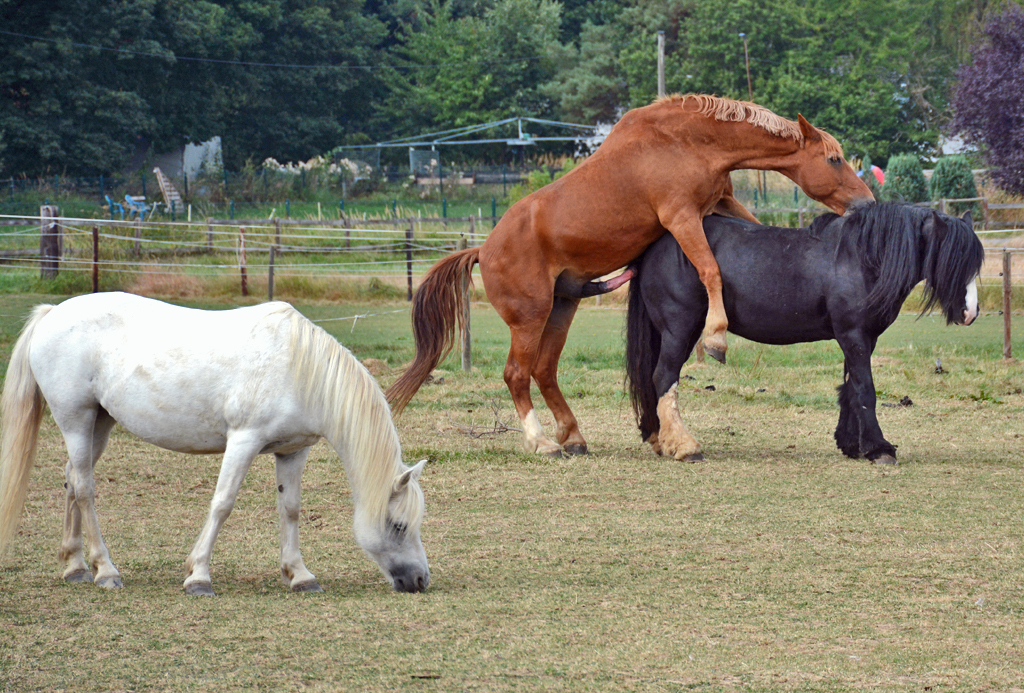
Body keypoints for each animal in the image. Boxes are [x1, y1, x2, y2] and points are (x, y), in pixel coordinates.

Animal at [0, 292, 430, 593]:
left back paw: (74, 566)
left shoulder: (292, 450)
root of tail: (53, 313)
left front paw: (300, 575)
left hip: (99, 423)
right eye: (397, 525)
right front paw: (199, 577)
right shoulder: (243, 441)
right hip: (76, 420)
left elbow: (290, 509)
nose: (421, 580)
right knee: (85, 488)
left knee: (72, 478)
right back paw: (105, 570)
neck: (300, 368)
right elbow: (222, 504)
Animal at [385, 94, 872, 456]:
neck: (689, 140)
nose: (866, 201)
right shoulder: (682, 217)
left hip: (562, 309)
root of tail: (483, 250)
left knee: (544, 371)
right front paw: (716, 336)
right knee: (516, 375)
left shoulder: (719, 204)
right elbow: (711, 270)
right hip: (530, 318)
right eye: (834, 159)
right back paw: (542, 442)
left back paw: (574, 437)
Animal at [618, 205, 987, 464]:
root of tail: (656, 247)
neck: (860, 258)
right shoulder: (854, 335)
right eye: (953, 260)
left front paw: (851, 444)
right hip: (680, 328)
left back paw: (660, 438)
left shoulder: (860, 338)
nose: (971, 313)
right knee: (664, 377)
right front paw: (879, 449)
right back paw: (685, 446)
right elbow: (865, 390)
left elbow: (850, 388)